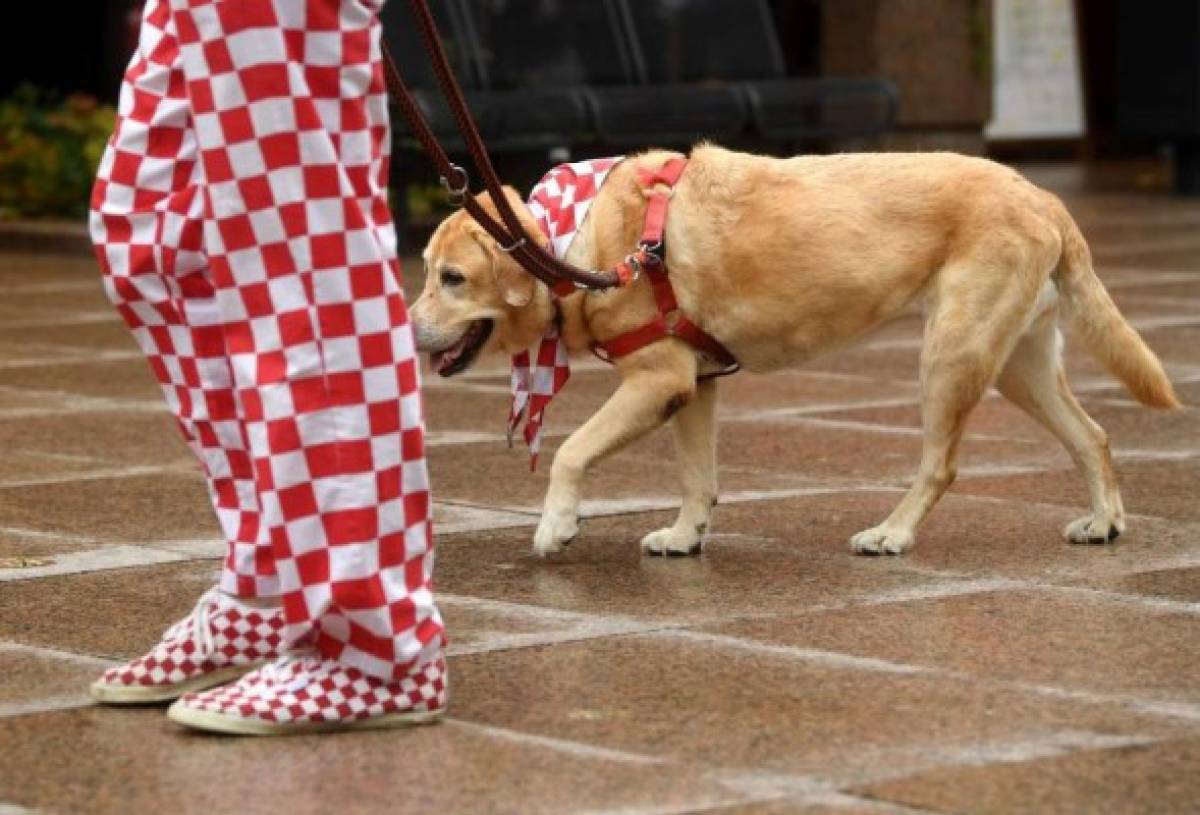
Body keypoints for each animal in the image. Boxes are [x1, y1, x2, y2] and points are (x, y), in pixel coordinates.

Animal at [408, 143, 1176, 556]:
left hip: (951, 357)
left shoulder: (656, 382)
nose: (407, 328)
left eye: (452, 279)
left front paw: (556, 525)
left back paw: (892, 533)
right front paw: (685, 536)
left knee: (942, 464)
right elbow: (697, 477)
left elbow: (570, 450)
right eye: (426, 270)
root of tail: (1043, 197)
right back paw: (1105, 519)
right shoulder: (694, 387)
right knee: (1093, 435)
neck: (577, 243)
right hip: (1019, 364)